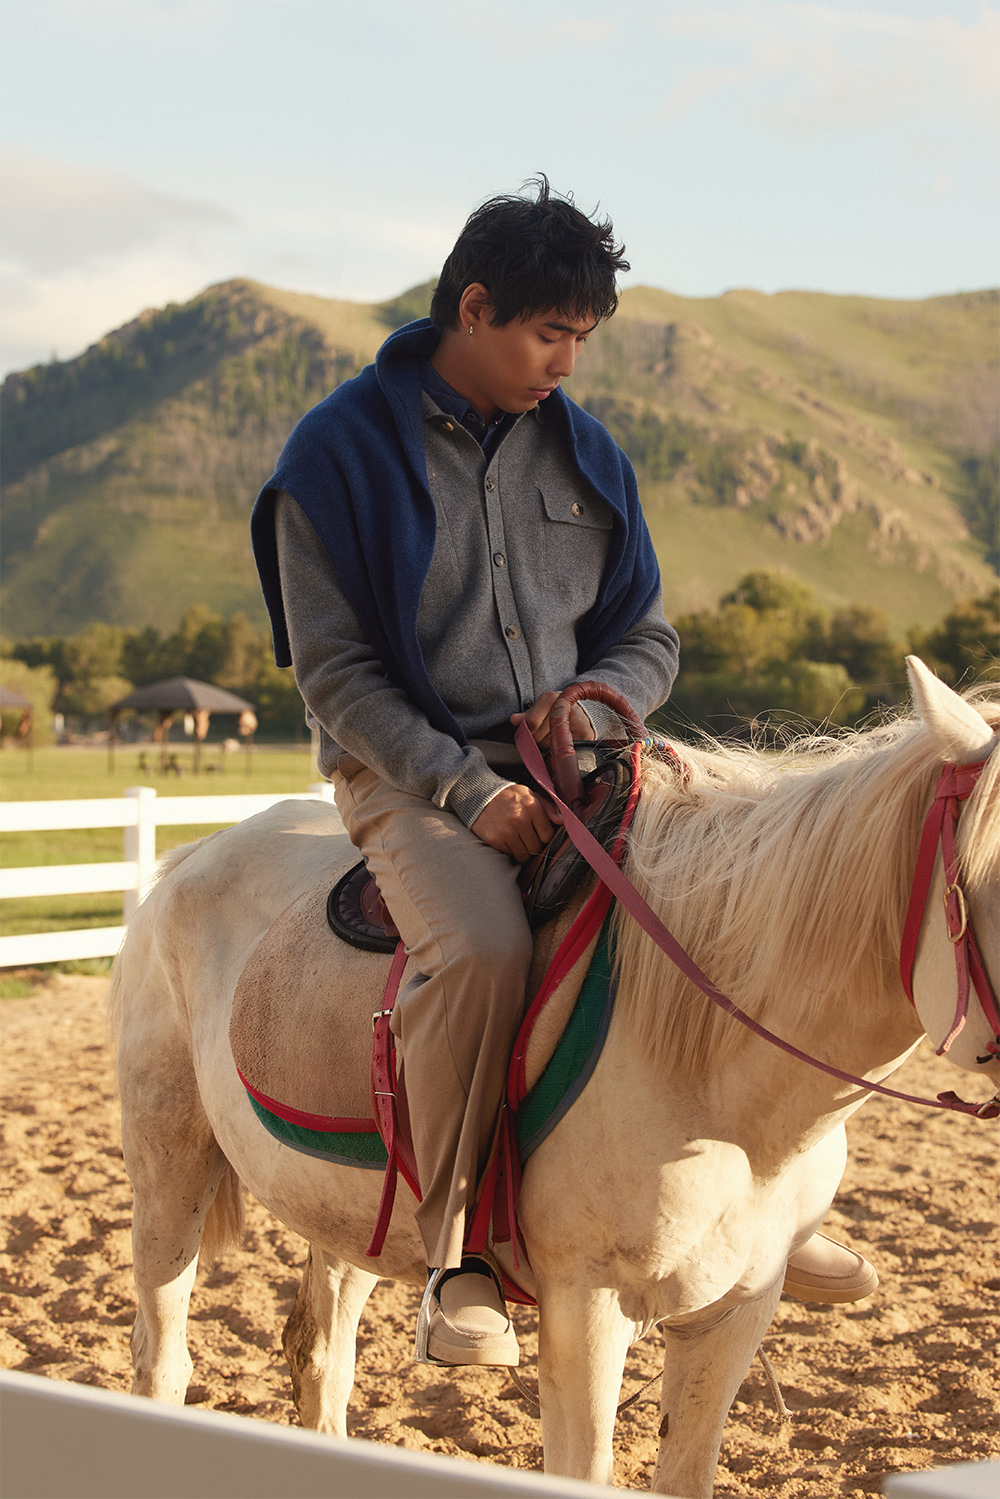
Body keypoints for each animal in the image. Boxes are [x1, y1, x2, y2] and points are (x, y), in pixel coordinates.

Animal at [109, 662, 1000, 1493]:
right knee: (163, 1356)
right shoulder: (587, 1306)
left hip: (346, 1210)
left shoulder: (734, 1312)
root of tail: (190, 854)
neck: (719, 1085)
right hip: (170, 1167)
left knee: (321, 1355)